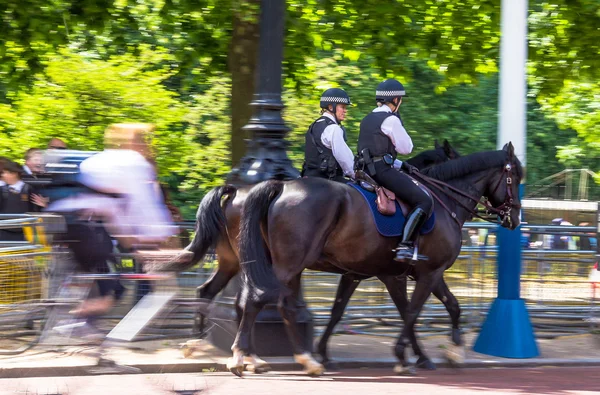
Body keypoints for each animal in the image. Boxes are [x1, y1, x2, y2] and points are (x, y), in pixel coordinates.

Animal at [232, 143, 524, 378]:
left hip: (283, 267)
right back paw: (247, 357)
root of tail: (280, 186)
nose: (514, 218)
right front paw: (405, 355)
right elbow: (413, 311)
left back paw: (288, 359)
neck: (443, 202)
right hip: (289, 266)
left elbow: (446, 307)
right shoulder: (427, 273)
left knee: (269, 304)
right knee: (263, 300)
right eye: (514, 178)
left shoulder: (385, 275)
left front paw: (440, 354)